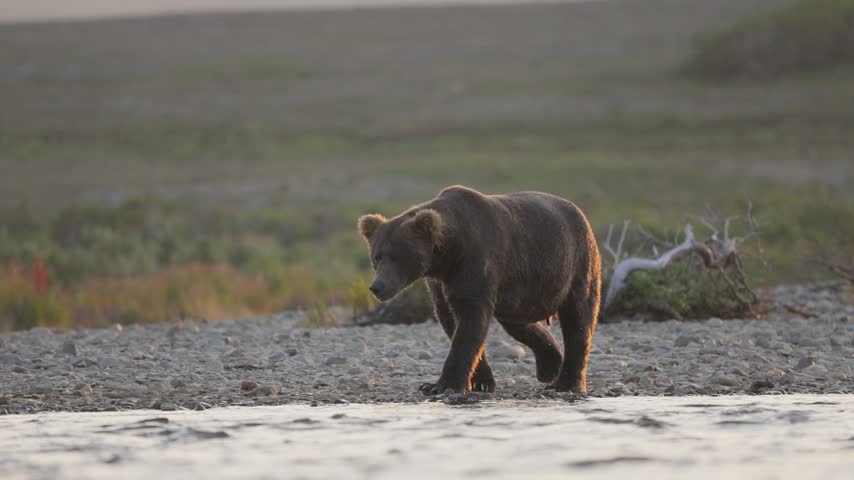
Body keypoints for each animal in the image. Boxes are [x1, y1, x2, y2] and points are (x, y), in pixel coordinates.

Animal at [357, 185, 601, 394]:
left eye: (398, 256)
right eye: (376, 256)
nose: (377, 287)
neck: (446, 256)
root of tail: (578, 211)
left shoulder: (475, 262)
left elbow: (469, 319)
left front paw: (441, 385)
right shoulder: (440, 283)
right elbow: (451, 319)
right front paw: (481, 382)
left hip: (577, 261)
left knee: (578, 318)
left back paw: (566, 382)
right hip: (521, 290)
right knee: (521, 324)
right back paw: (550, 365)